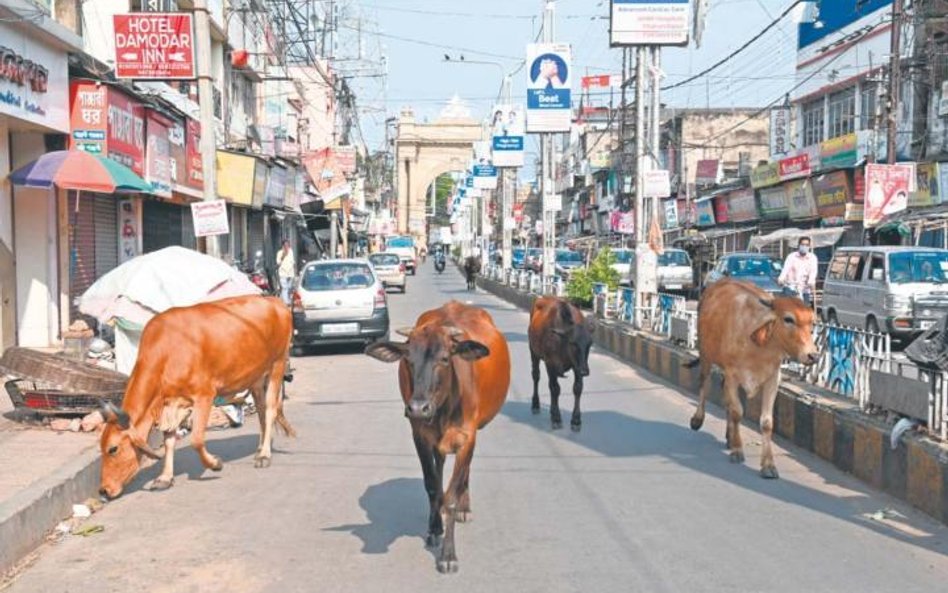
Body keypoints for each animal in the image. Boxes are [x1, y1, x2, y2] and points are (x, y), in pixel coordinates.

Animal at [98, 296, 294, 500]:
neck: (167, 352)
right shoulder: (170, 405)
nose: (103, 490)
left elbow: (197, 439)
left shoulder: (204, 395)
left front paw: (214, 463)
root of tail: (275, 301)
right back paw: (261, 448)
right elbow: (169, 440)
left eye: (113, 449)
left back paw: (264, 455)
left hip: (278, 364)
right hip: (256, 377)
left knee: (270, 410)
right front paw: (165, 478)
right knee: (262, 410)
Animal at [364, 302, 512, 572]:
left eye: (444, 358)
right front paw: (434, 528)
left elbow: (452, 494)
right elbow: (432, 485)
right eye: (408, 359)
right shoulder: (420, 435)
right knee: (440, 467)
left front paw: (448, 554)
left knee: (464, 473)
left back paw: (464, 506)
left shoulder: (467, 438)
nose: (417, 408)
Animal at [524, 296, 592, 430]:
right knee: (536, 376)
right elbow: (555, 389)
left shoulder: (577, 366)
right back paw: (536, 405)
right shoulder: (550, 364)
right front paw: (556, 418)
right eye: (573, 343)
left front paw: (576, 420)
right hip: (533, 352)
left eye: (589, 344)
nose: (585, 371)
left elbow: (577, 388)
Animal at [684, 280, 820, 478]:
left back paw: (729, 436)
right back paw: (697, 420)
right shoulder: (732, 374)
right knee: (704, 384)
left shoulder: (773, 379)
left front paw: (768, 465)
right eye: (788, 319)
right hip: (706, 354)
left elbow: (766, 422)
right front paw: (737, 451)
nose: (813, 356)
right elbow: (737, 412)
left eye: (812, 323)